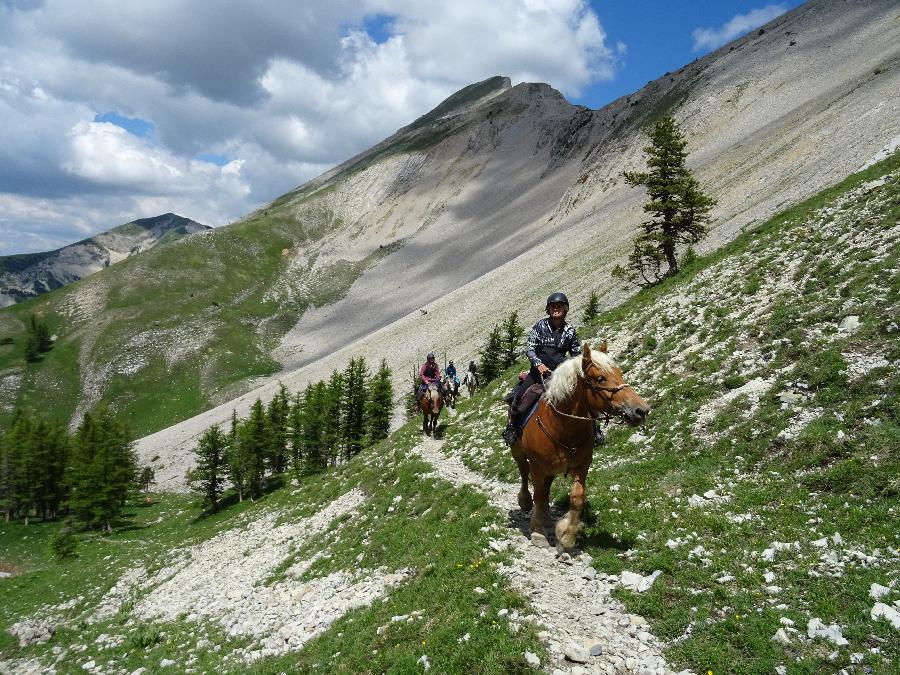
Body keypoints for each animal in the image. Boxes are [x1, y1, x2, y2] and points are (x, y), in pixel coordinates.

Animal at [510, 344, 652, 556]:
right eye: (600, 378)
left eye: (619, 373)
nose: (641, 410)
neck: (562, 427)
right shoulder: (537, 466)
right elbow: (539, 495)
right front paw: (538, 533)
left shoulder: (582, 466)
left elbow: (576, 498)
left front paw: (567, 538)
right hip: (518, 451)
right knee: (523, 471)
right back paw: (526, 502)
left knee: (546, 486)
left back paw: (546, 516)